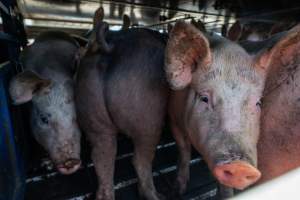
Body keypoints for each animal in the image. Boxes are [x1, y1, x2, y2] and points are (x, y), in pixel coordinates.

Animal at [166, 21, 300, 197]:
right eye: (204, 98)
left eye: (258, 103)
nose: (240, 167)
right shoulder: (173, 117)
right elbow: (183, 150)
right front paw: (178, 190)